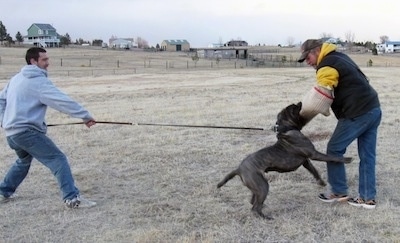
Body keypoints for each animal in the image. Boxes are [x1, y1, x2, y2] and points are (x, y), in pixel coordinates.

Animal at [217, 101, 352, 219]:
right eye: (293, 107)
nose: (299, 102)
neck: (287, 128)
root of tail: (239, 169)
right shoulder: (314, 154)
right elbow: (331, 157)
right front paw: (346, 159)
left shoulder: (306, 161)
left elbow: (314, 171)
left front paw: (321, 183)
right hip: (263, 186)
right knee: (255, 207)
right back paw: (266, 217)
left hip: (257, 187)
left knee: (253, 201)